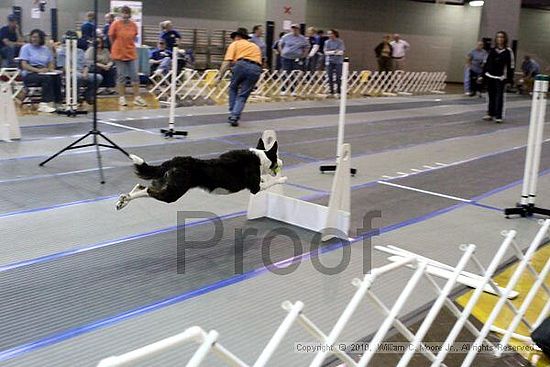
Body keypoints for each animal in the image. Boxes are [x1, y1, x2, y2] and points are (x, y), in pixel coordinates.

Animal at [116, 139, 288, 211]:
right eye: (276, 156)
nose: (282, 162)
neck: (260, 158)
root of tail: (174, 161)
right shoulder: (255, 188)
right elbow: (271, 182)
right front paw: (283, 178)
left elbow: (265, 180)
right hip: (174, 192)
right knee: (148, 190)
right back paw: (125, 199)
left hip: (164, 182)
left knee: (140, 185)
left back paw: (123, 200)